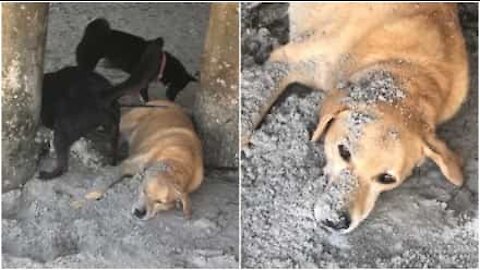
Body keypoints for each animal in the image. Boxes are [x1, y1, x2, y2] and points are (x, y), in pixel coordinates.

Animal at [39, 41, 163, 179]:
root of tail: (102, 93)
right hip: (113, 128)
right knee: (114, 151)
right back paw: (112, 163)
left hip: (62, 131)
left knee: (63, 166)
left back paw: (48, 175)